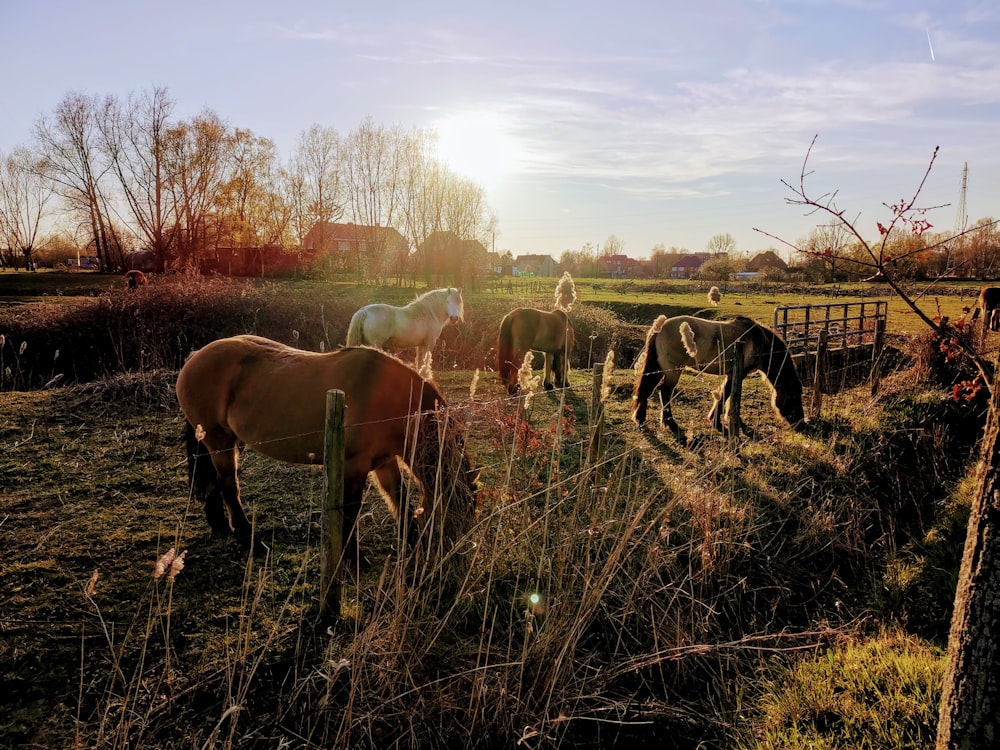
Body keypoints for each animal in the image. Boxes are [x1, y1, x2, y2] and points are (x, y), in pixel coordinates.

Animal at [174, 338, 478, 560]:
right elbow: (351, 510)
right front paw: (353, 558)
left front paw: (412, 540)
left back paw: (221, 527)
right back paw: (251, 542)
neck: (389, 397)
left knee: (214, 484)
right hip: (219, 443)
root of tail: (193, 358)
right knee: (229, 488)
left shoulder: (384, 461)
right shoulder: (354, 465)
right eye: (458, 512)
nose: (454, 556)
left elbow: (400, 499)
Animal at [628, 316, 808, 444]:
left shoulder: (734, 374)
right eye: (794, 396)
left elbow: (729, 396)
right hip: (673, 371)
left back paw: (641, 419)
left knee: (647, 390)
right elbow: (725, 395)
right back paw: (671, 424)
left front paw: (732, 419)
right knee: (665, 392)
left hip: (659, 369)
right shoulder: (737, 373)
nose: (801, 424)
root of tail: (661, 326)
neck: (760, 341)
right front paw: (717, 421)